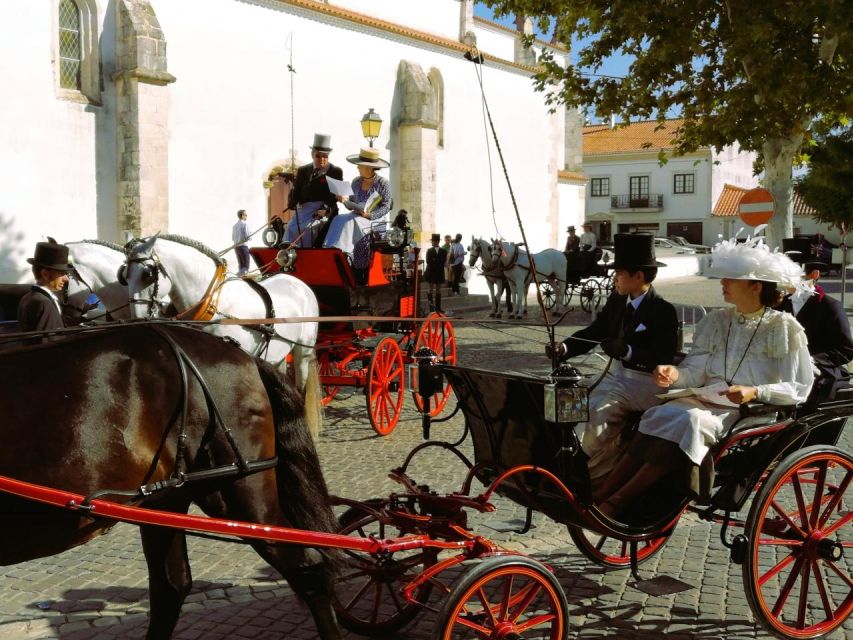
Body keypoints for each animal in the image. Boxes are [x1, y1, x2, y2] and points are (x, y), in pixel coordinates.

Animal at [120, 235, 320, 436]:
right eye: (124, 276)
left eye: (147, 274)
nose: (136, 319)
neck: (215, 305)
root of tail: (299, 283)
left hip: (302, 352)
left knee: (300, 389)